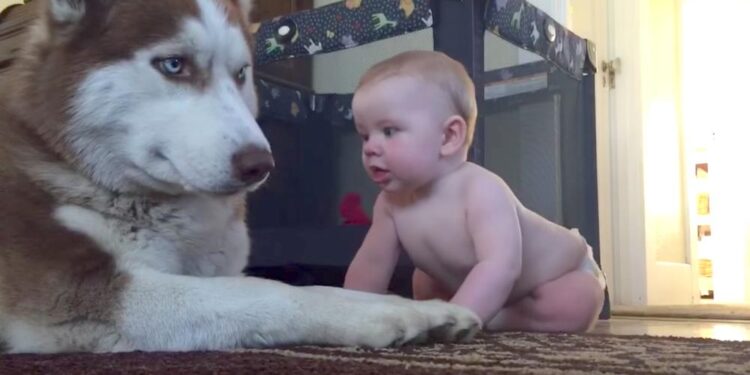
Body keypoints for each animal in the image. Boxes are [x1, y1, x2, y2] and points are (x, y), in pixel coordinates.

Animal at [0, 0, 482, 354]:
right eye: (173, 65)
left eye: (241, 73)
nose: (260, 164)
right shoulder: (72, 295)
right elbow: (267, 292)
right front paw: (381, 316)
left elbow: (299, 284)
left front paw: (424, 307)